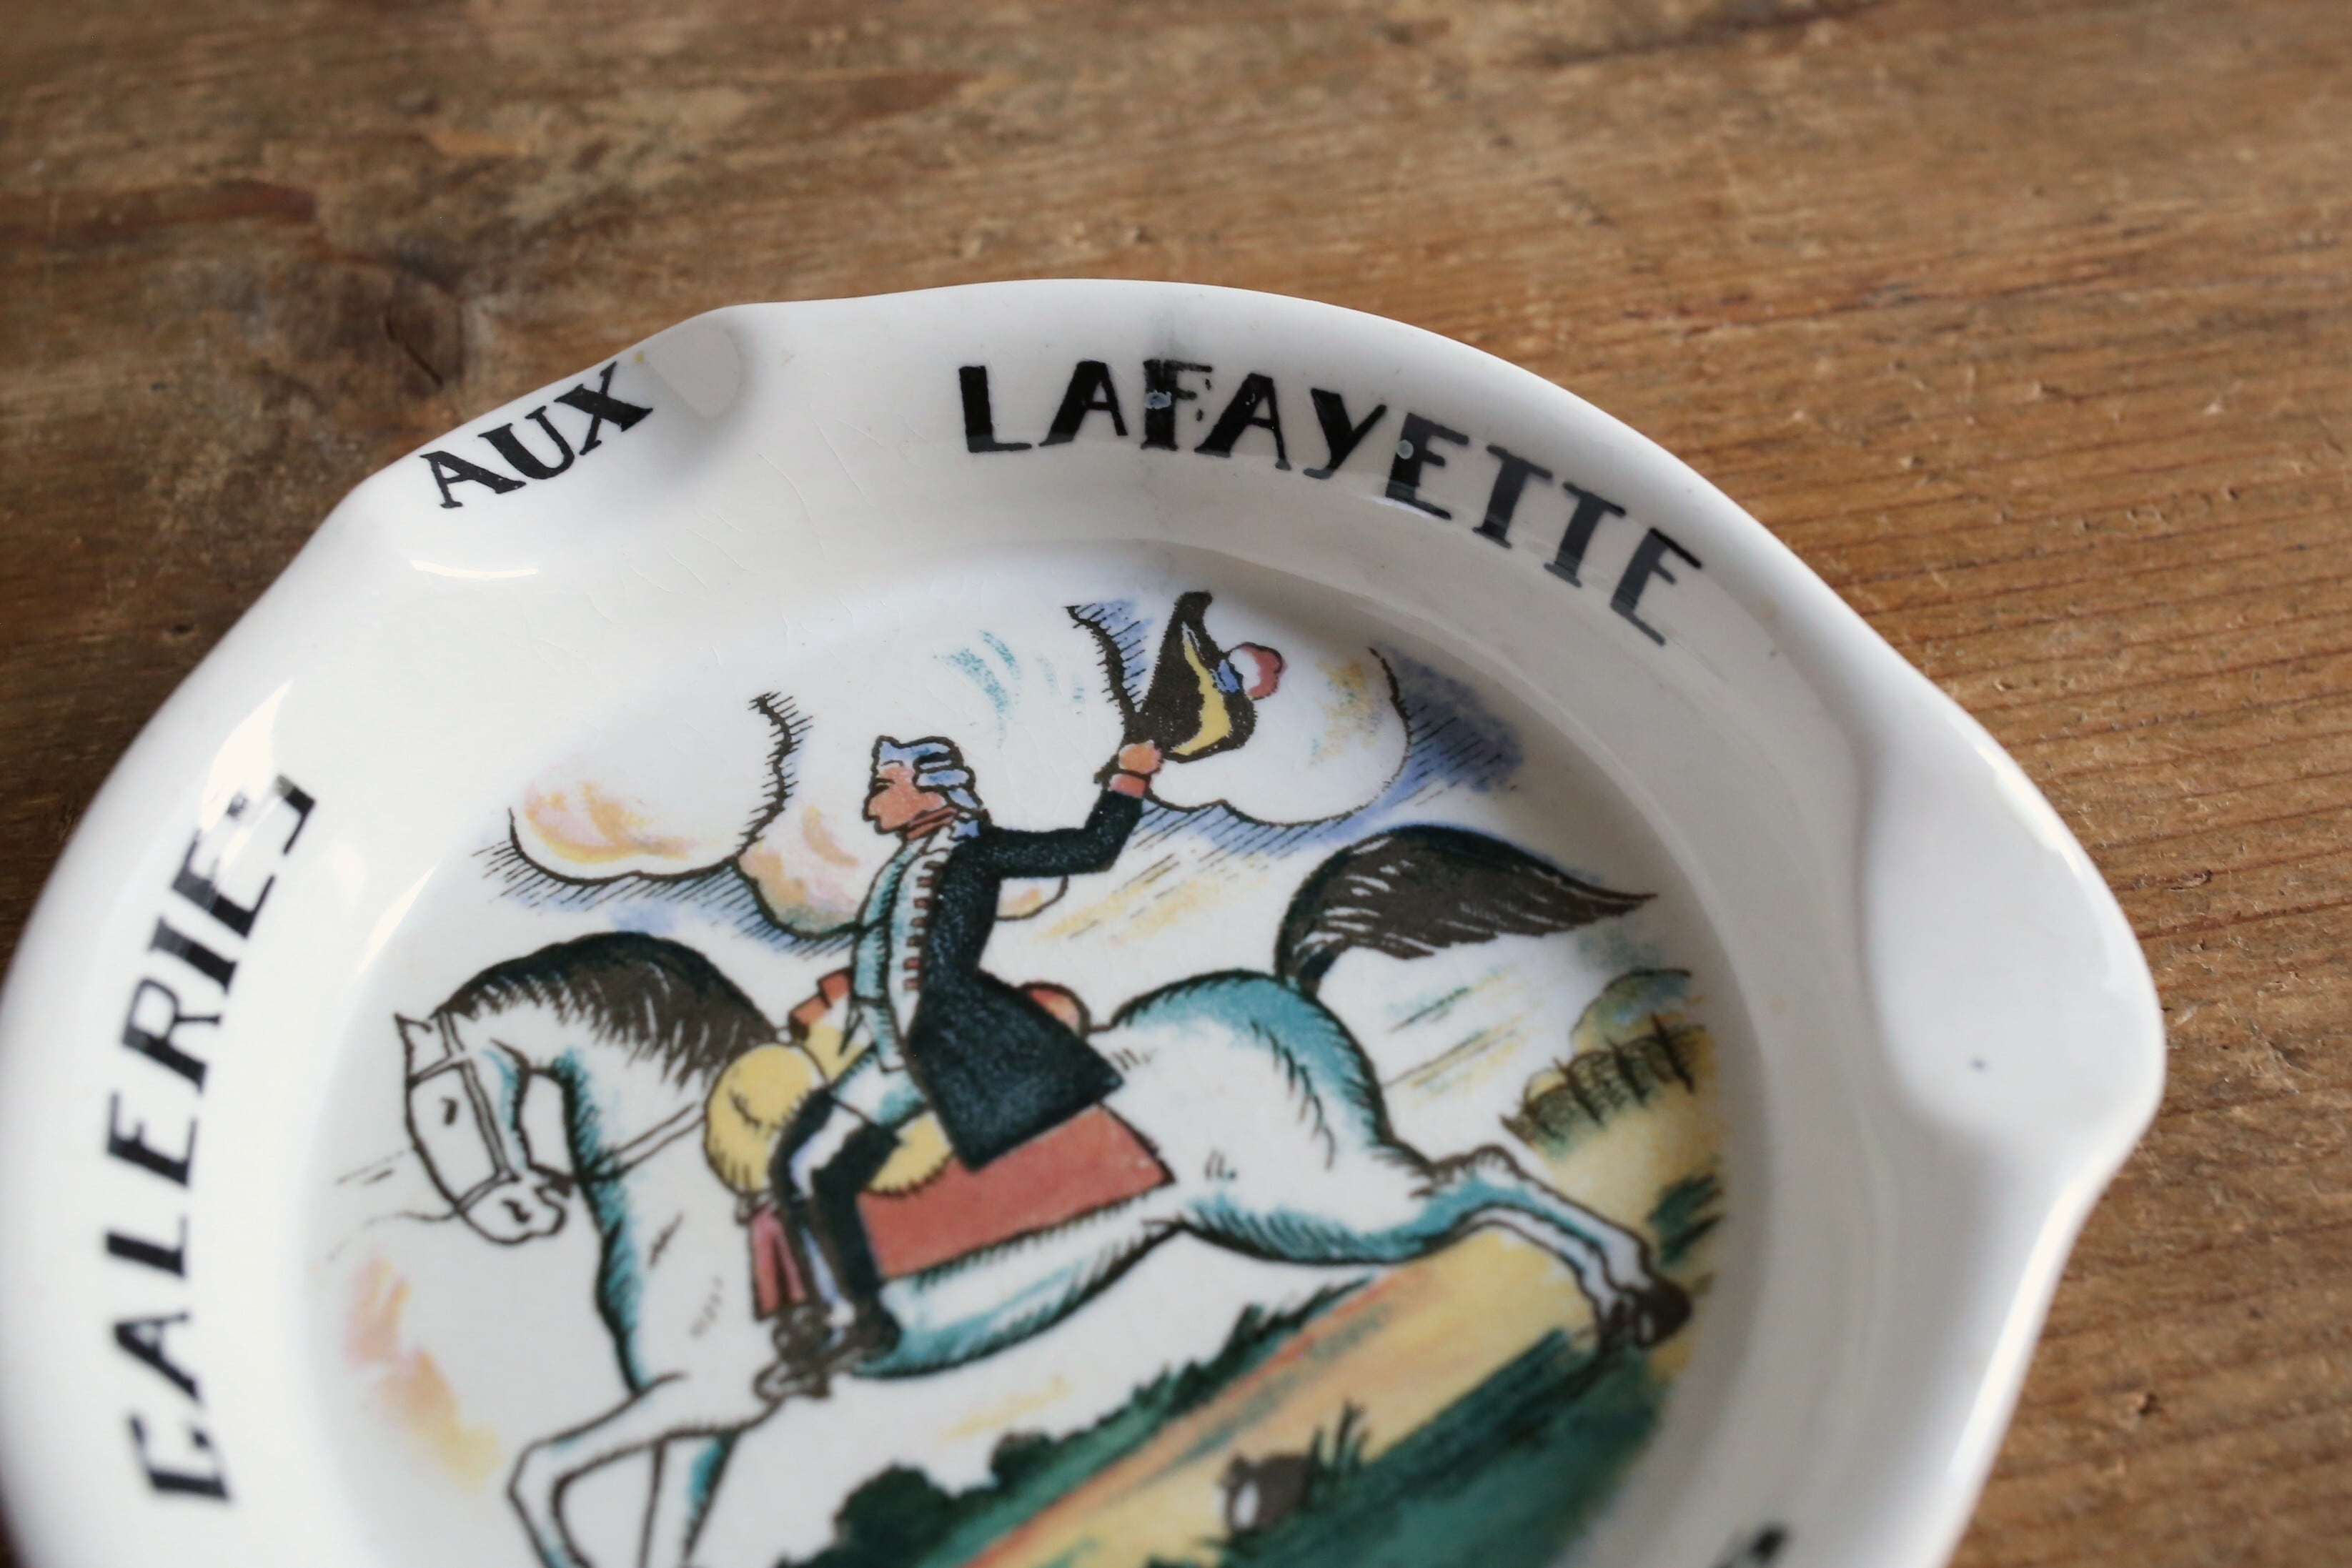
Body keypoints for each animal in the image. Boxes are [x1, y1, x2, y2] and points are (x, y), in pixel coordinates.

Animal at [393, 825, 1692, 1568]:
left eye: (442, 1108)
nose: (510, 1217)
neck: (693, 1188)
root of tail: (1274, 986)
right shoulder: (714, 1422)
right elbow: (648, 1531)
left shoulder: (695, 1395)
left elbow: (536, 1468)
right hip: (1299, 1209)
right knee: (1483, 1185)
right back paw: (1625, 1304)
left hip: (1319, 1204)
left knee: (1484, 1180)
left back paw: (1634, 1294)